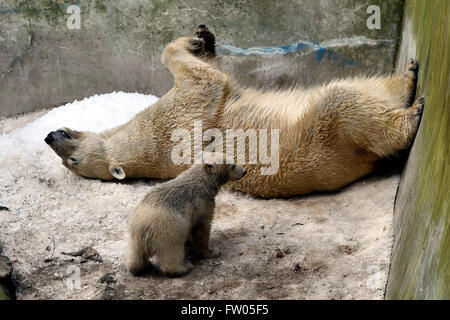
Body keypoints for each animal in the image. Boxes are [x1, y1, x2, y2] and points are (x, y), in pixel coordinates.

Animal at [44, 26, 422, 199]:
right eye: (73, 162)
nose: (49, 136)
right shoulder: (173, 121)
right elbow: (205, 83)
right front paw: (192, 43)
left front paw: (203, 37)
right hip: (326, 138)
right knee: (343, 102)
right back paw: (412, 110)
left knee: (366, 87)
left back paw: (408, 76)